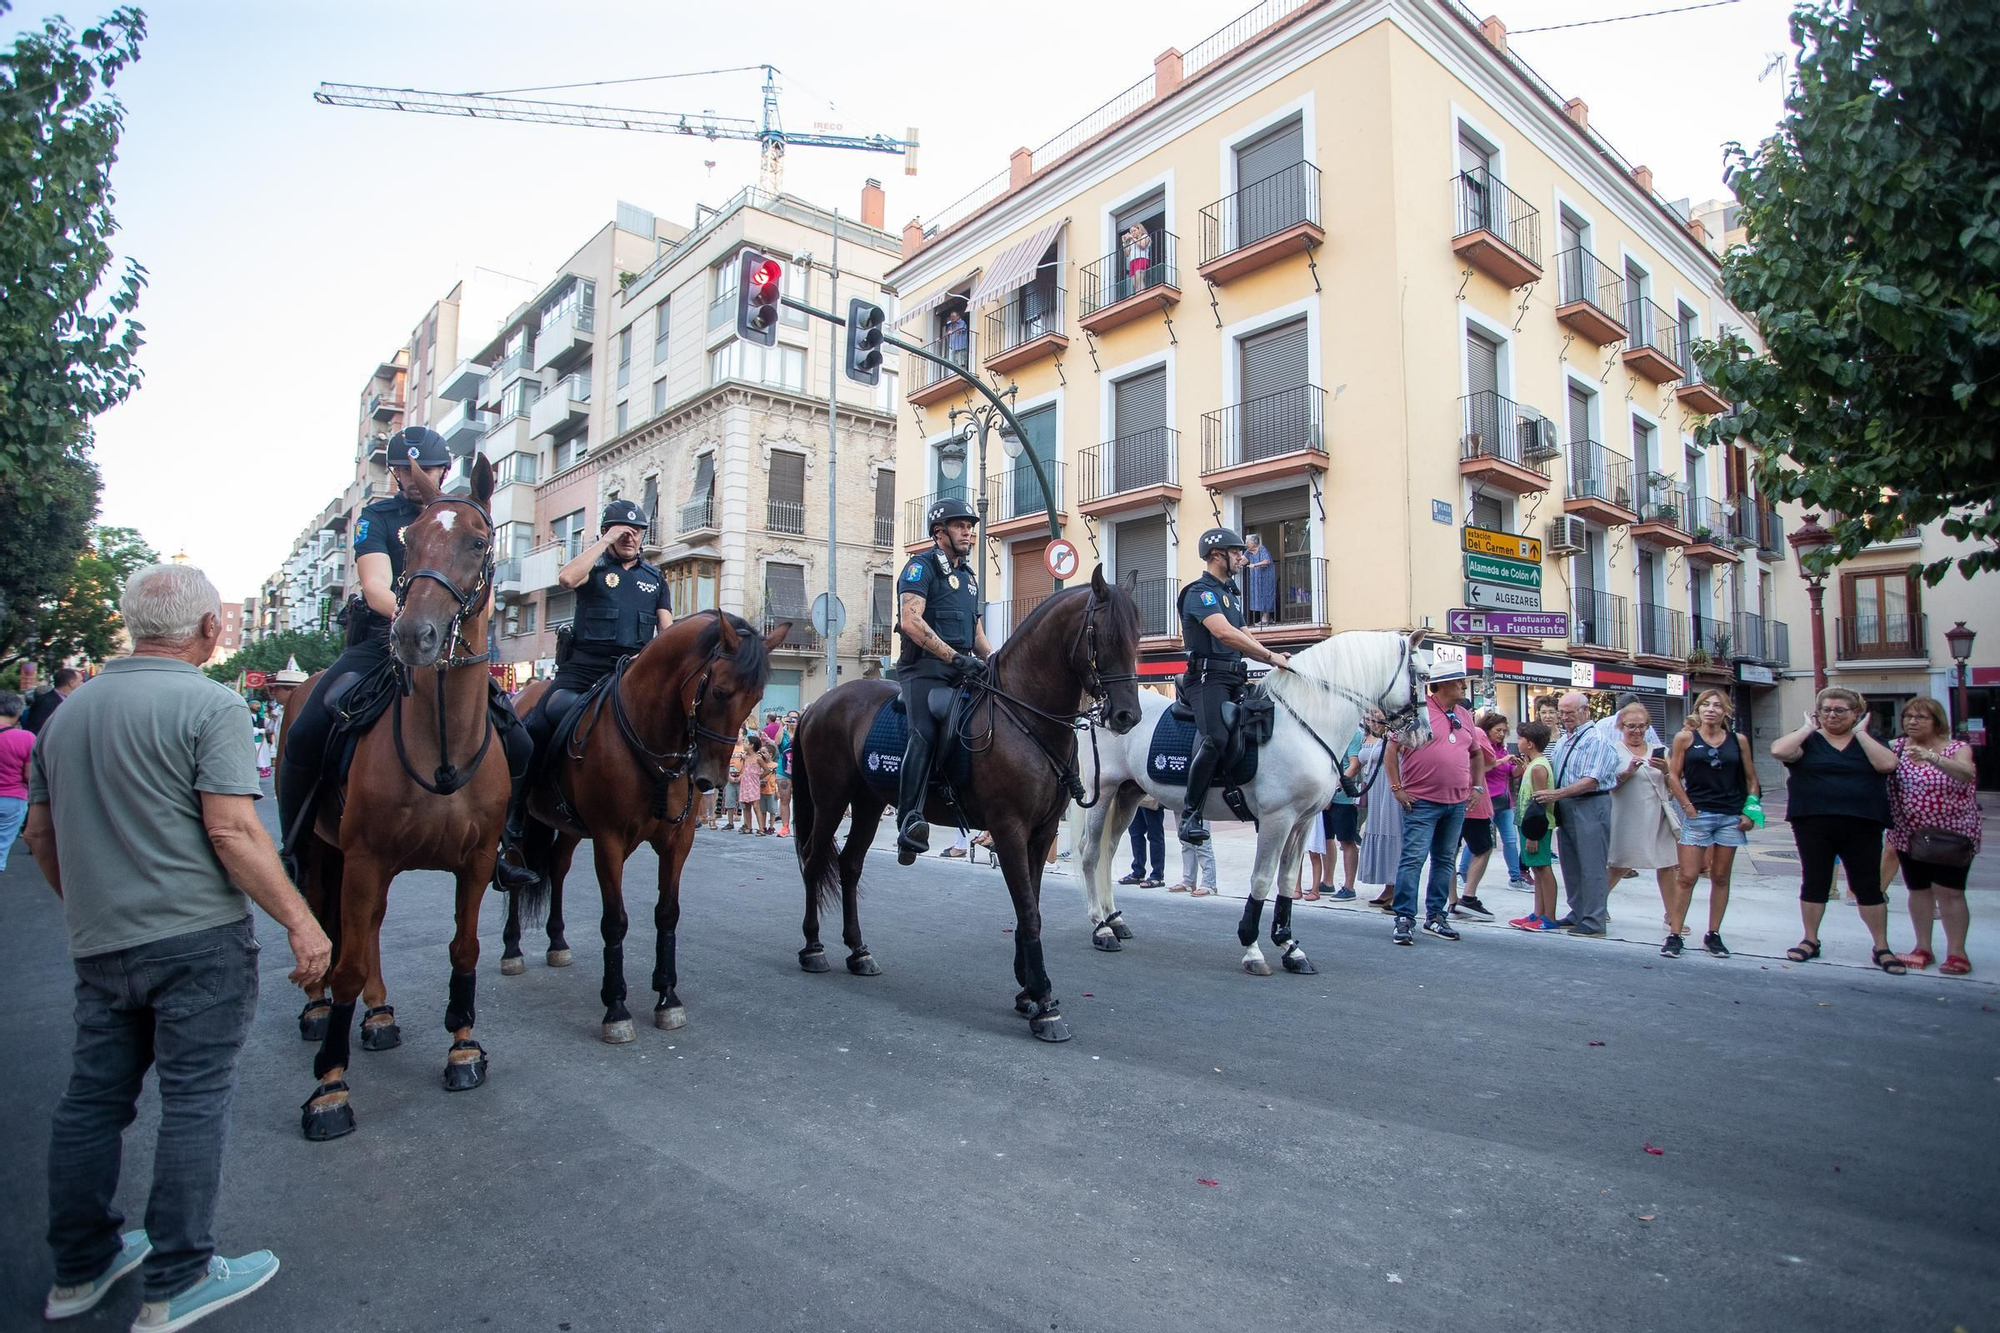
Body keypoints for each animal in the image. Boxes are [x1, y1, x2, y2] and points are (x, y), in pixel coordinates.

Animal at [282, 454, 516, 1128]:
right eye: (409, 543)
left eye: (480, 540)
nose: (415, 635)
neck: (442, 749)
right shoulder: (364, 858)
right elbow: (348, 963)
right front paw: (330, 1086)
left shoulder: (474, 862)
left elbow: (463, 950)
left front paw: (462, 1048)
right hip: (322, 850)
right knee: (323, 914)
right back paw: (317, 1009)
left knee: (373, 926)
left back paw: (381, 1014)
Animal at [500, 608, 788, 1040]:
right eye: (720, 692)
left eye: (755, 698)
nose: (713, 780)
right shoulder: (608, 841)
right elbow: (615, 922)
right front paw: (616, 1007)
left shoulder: (677, 840)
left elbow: (667, 914)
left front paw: (667, 997)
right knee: (517, 872)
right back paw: (512, 947)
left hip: (568, 828)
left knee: (557, 868)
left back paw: (557, 942)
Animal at [792, 564, 1152, 1040]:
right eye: (1104, 635)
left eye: (1137, 635)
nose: (1128, 716)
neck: (1027, 716)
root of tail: (818, 705)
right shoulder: (1009, 829)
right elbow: (1029, 911)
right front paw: (1044, 1002)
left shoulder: (1041, 833)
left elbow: (1031, 906)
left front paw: (1027, 991)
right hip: (831, 799)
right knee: (816, 860)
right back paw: (813, 946)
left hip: (867, 804)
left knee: (850, 866)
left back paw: (858, 951)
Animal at [1072, 628, 1432, 972]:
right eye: (1423, 675)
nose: (1424, 735)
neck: (1305, 723)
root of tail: (1097, 712)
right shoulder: (1278, 819)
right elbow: (1262, 878)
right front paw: (1252, 948)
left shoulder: (1304, 821)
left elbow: (1287, 879)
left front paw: (1290, 947)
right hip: (1103, 793)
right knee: (1091, 853)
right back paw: (1101, 927)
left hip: (1128, 793)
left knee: (1108, 851)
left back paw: (1115, 919)